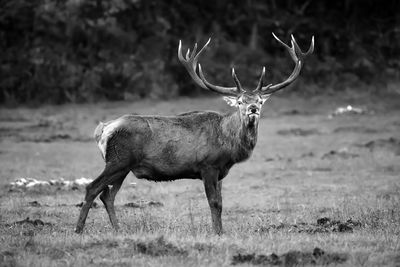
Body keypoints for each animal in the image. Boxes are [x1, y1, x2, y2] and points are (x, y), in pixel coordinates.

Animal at [74, 33, 312, 234]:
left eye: (260, 101)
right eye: (240, 101)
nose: (253, 108)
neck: (228, 144)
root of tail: (104, 128)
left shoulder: (220, 171)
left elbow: (221, 203)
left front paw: (221, 231)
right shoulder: (207, 166)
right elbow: (214, 202)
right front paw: (217, 233)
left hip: (124, 166)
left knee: (107, 194)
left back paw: (117, 229)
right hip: (118, 160)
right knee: (92, 187)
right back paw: (79, 229)